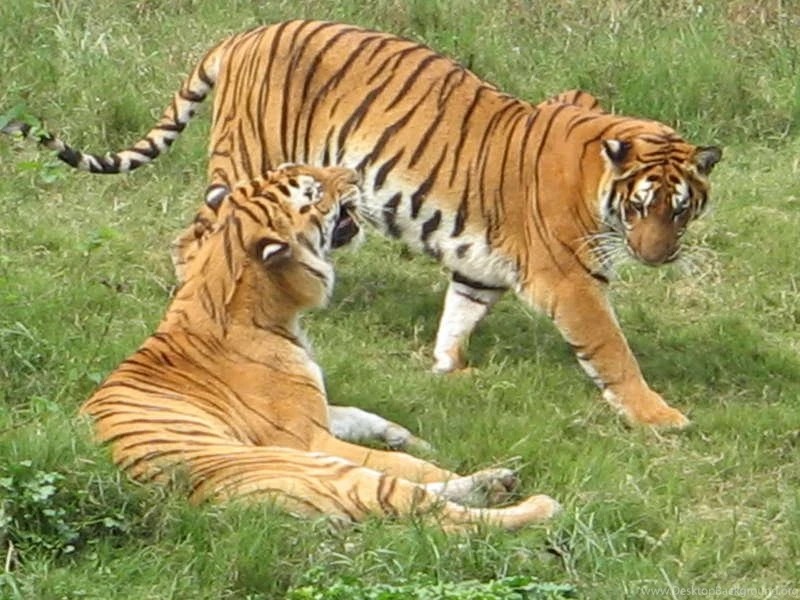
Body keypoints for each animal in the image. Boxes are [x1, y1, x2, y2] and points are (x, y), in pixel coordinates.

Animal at [3, 20, 722, 429]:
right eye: (643, 206)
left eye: (681, 208)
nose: (658, 256)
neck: (598, 179)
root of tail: (244, 34)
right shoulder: (570, 279)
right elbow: (612, 351)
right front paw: (660, 417)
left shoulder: (482, 265)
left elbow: (460, 312)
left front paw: (449, 369)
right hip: (248, 166)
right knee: (196, 239)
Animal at [78, 164, 560, 530]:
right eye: (312, 192)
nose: (354, 172)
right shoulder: (308, 437)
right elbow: (405, 466)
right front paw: (426, 454)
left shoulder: (316, 410)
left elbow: (363, 416)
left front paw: (412, 438)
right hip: (322, 469)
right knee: (441, 512)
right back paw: (532, 501)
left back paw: (496, 481)